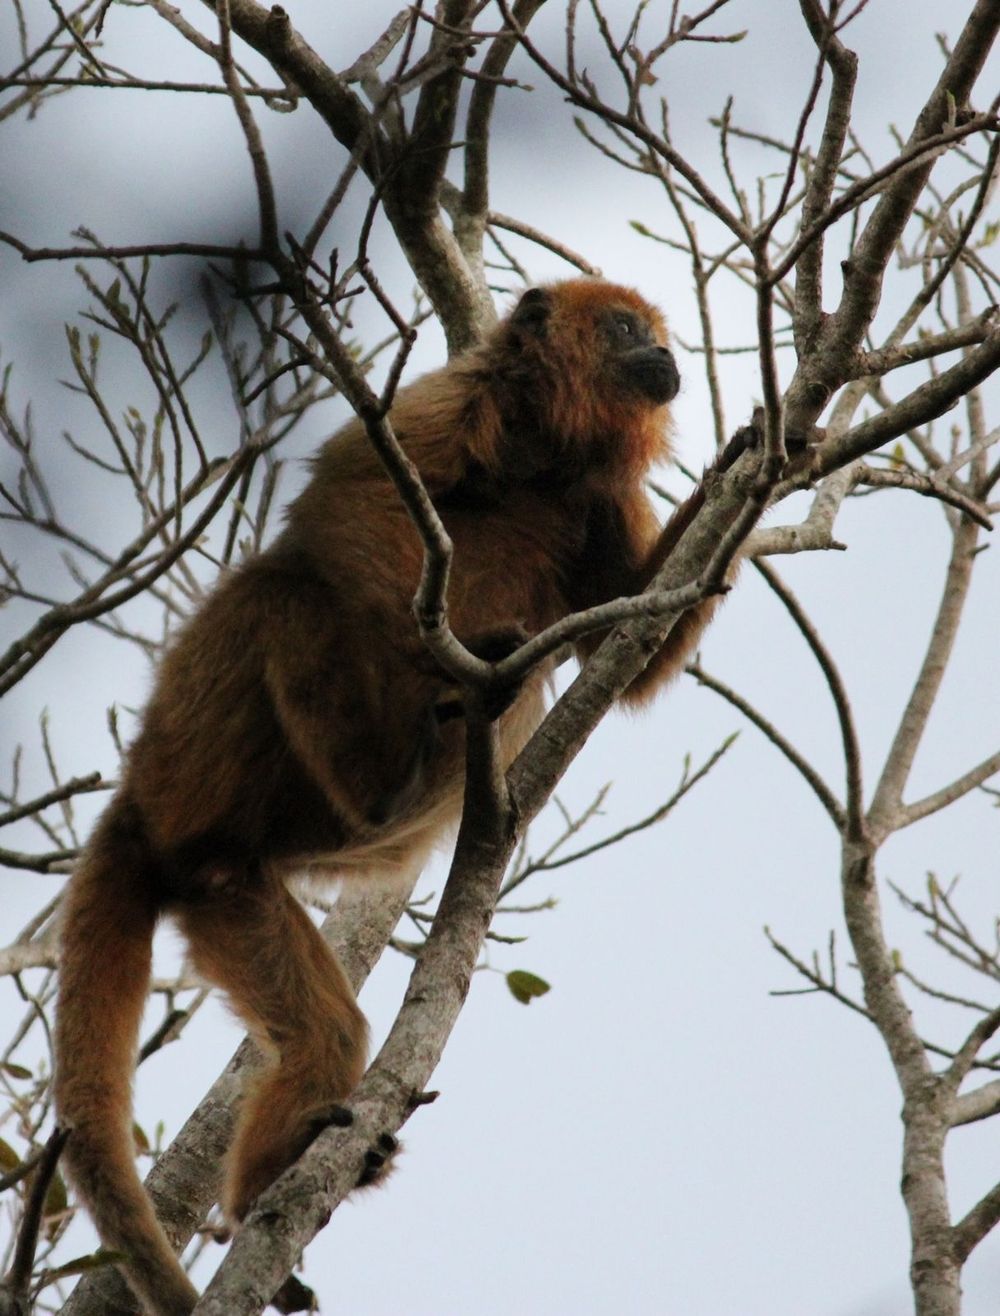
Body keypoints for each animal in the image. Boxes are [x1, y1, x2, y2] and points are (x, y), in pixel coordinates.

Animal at [54, 279, 733, 1316]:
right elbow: (350, 495)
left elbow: (633, 635)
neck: (547, 449)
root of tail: (145, 808)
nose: (664, 354)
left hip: (229, 885)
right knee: (286, 584)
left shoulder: (604, 496)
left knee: (324, 1033)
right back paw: (389, 762)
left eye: (655, 334)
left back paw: (265, 1184)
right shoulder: (443, 402)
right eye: (626, 329)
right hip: (197, 753)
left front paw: (755, 468)